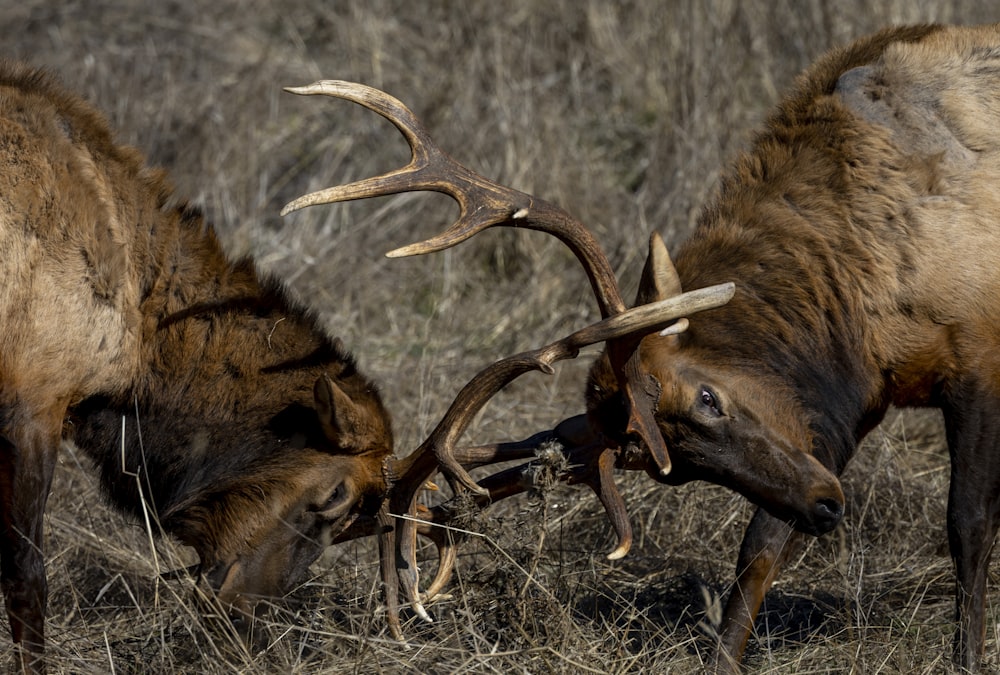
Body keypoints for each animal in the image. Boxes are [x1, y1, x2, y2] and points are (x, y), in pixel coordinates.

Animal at [280, 21, 1000, 675]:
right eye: (673, 468)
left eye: (708, 395)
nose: (826, 504)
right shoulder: (848, 408)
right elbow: (761, 547)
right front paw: (723, 658)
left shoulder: (977, 356)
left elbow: (967, 525)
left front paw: (967, 657)